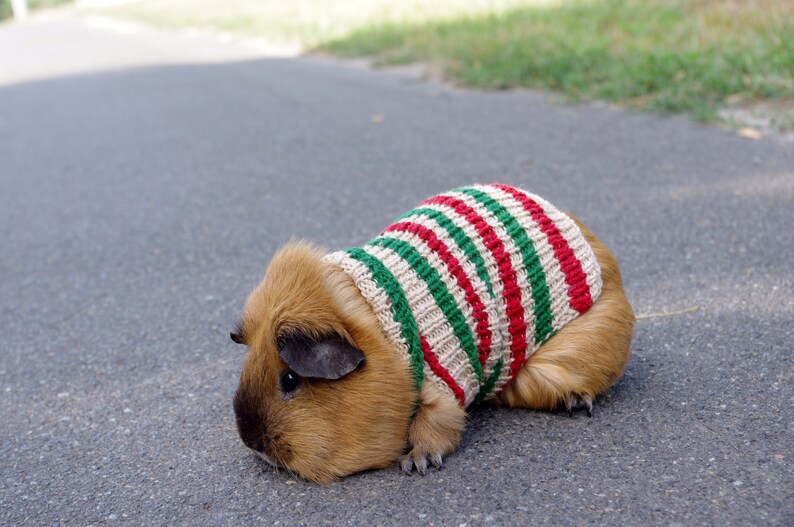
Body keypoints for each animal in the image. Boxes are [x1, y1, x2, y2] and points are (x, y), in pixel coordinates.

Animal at [231, 184, 634, 483]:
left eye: (290, 380)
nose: (251, 441)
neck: (383, 327)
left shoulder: (444, 386)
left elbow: (438, 426)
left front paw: (417, 463)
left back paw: (577, 403)